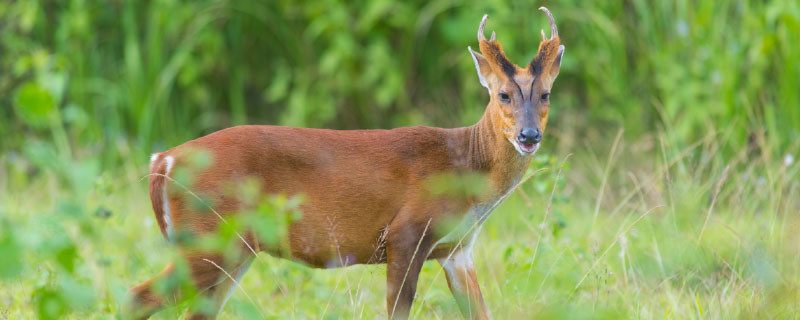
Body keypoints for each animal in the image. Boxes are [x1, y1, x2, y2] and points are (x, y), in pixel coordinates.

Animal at [128, 7, 564, 320]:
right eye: (503, 95)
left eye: (545, 94)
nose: (528, 136)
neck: (465, 169)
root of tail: (163, 159)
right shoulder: (406, 233)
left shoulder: (458, 250)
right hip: (210, 238)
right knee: (136, 296)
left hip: (232, 249)